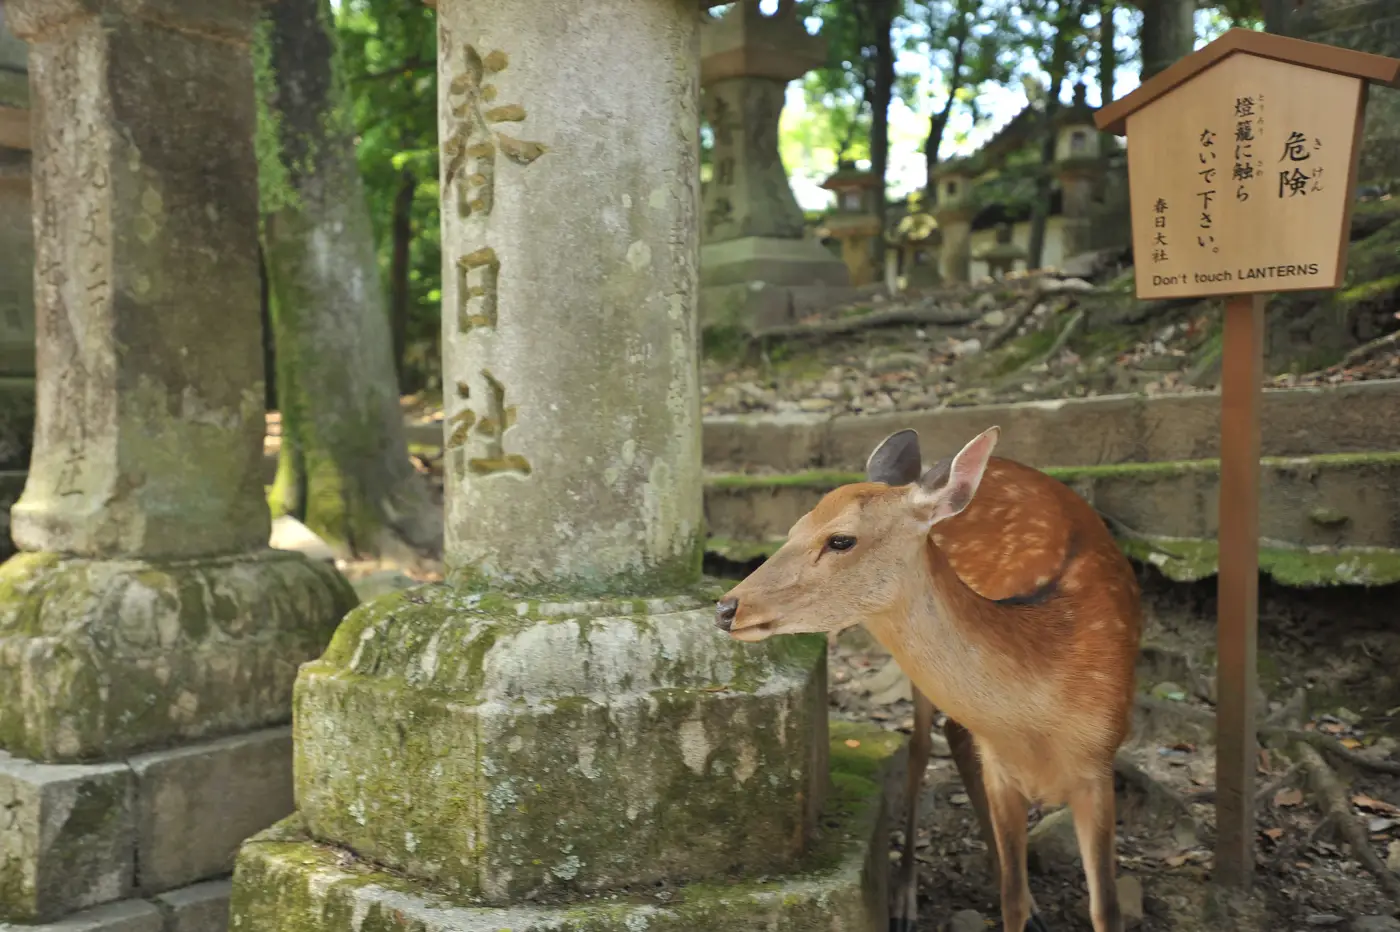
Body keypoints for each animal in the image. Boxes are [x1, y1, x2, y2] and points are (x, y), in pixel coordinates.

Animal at [716, 425, 1142, 929]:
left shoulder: (1099, 767)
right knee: (920, 747)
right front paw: (1019, 898)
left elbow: (1105, 908)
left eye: (840, 540)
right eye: (793, 529)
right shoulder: (1000, 769)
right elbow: (1012, 900)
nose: (726, 607)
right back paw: (905, 896)